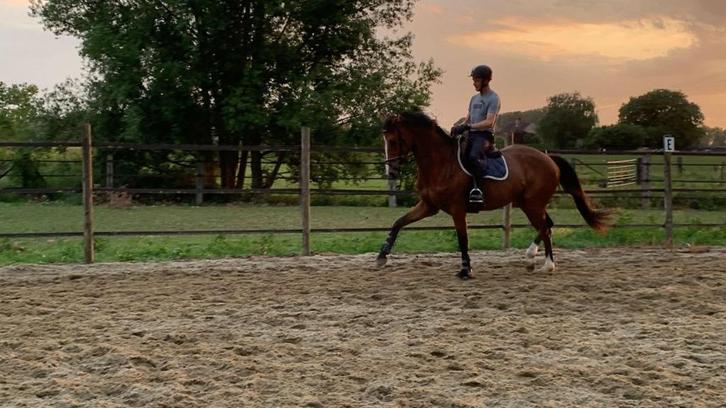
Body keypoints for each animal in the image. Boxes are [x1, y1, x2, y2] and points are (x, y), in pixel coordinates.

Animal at [377, 111, 611, 279]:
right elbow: (398, 223)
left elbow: (463, 239)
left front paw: (466, 270)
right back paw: (531, 255)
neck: (441, 163)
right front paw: (381, 257)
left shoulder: (457, 209)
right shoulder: (428, 206)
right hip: (527, 203)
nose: (392, 172)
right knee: (548, 224)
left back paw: (548, 265)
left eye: (394, 141)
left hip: (533, 204)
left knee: (545, 227)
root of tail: (548, 158)